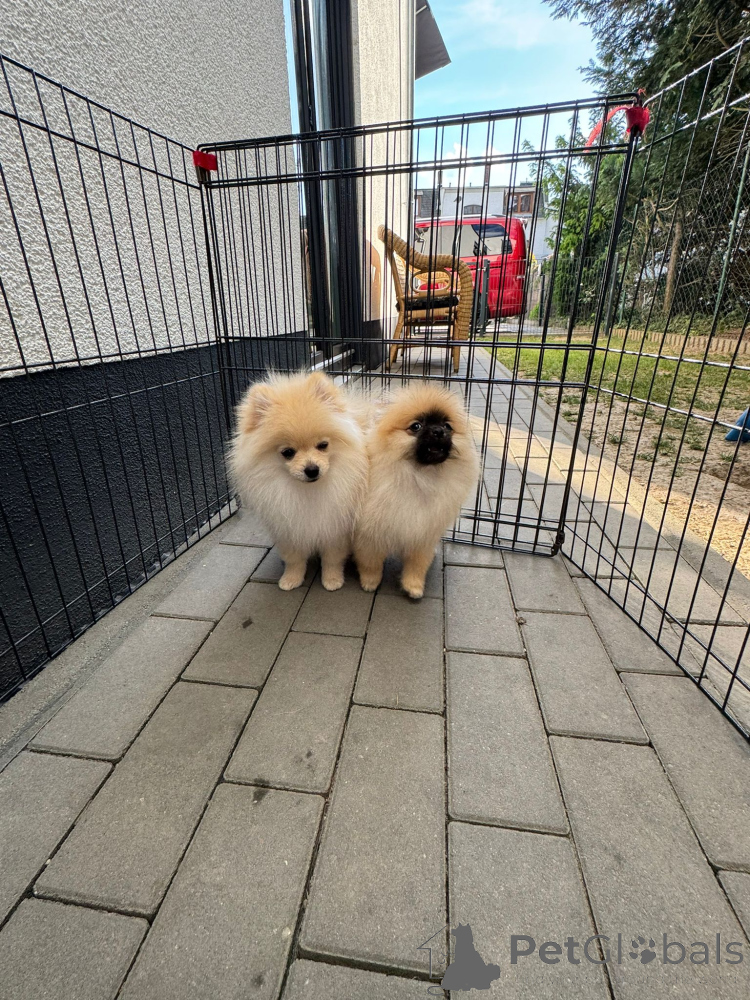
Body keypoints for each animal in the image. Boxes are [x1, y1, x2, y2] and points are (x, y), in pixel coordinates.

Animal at [228, 370, 368, 591]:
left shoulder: (335, 527)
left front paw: (332, 580)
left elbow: (332, 558)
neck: (307, 491)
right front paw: (291, 579)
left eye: (323, 445)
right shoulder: (288, 528)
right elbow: (294, 559)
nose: (312, 469)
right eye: (288, 452)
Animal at [354, 382, 478, 598]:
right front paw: (370, 582)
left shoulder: (424, 532)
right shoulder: (369, 535)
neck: (420, 478)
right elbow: (371, 562)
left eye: (448, 426)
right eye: (416, 426)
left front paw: (414, 586)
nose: (438, 431)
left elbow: (417, 564)